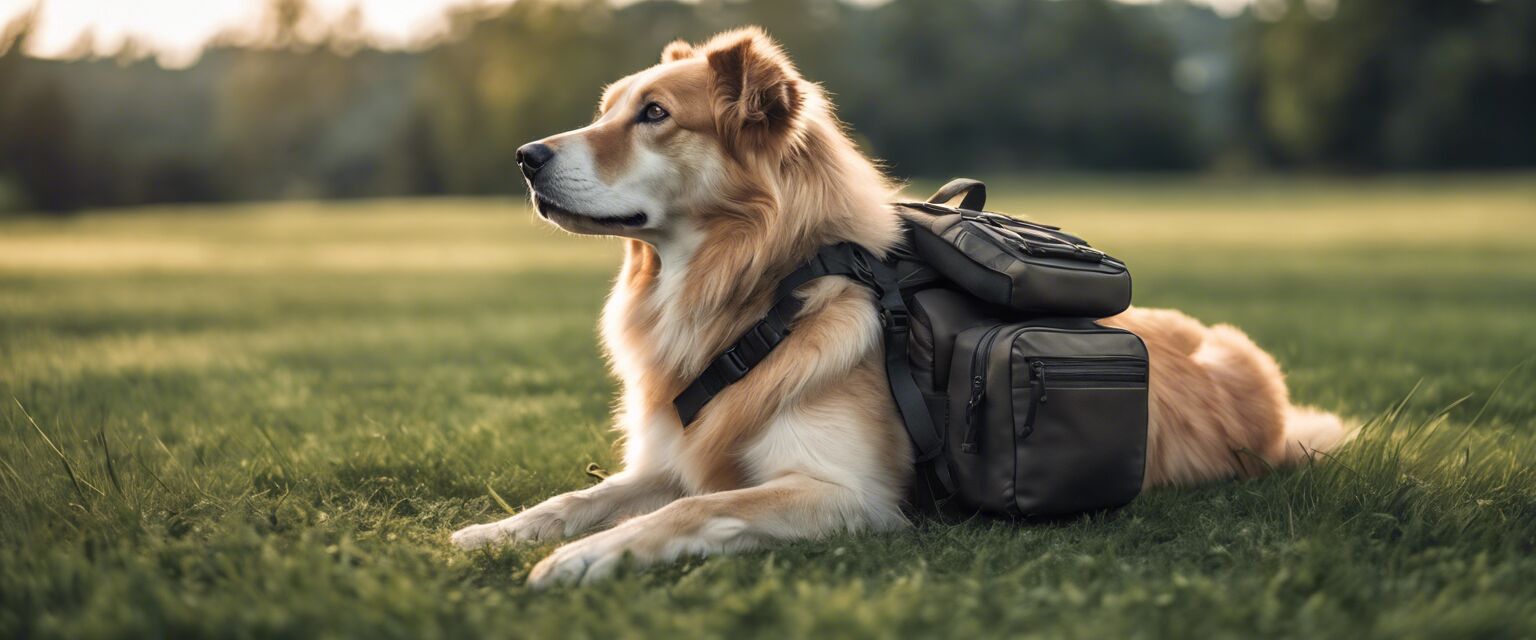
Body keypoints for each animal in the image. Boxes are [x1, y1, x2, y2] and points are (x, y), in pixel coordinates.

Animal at [448, 28, 1351, 589]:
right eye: (609, 109)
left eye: (655, 115)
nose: (525, 157)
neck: (765, 294)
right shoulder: (668, 458)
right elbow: (579, 500)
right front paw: (494, 534)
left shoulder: (849, 496)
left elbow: (700, 507)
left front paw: (585, 560)